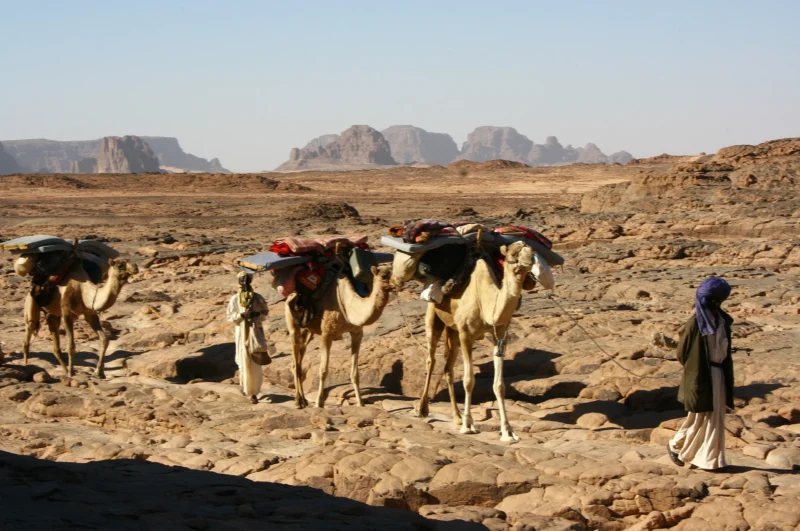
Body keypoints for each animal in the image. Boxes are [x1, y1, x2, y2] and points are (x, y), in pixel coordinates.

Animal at [285, 265, 392, 409]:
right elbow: (323, 370)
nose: (397, 283)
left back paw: (304, 400)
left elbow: (355, 373)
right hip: (293, 324)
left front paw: (360, 403)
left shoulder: (357, 332)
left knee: (298, 359)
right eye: (383, 276)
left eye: (392, 271)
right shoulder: (326, 333)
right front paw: (319, 403)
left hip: (308, 330)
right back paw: (297, 402)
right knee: (295, 359)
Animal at [410, 241, 534, 442]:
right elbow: (468, 380)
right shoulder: (466, 334)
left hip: (453, 330)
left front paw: (508, 432)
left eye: (532, 252)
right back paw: (423, 409)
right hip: (433, 316)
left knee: (448, 368)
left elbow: (500, 385)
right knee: (431, 359)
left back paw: (457, 417)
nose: (529, 263)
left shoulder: (500, 336)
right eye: (513, 253)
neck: (487, 302)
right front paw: (468, 426)